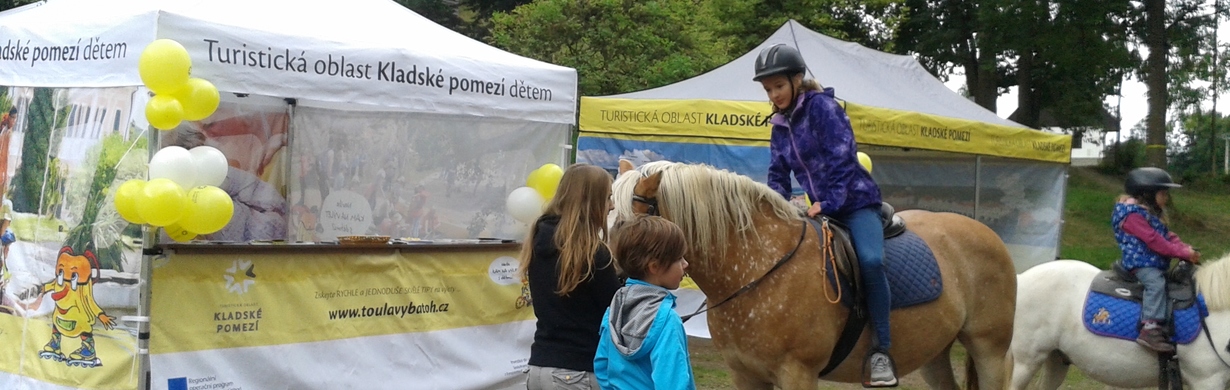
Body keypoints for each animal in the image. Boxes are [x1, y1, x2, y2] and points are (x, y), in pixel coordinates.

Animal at [615, 159, 1018, 388]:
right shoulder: (746, 375)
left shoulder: (798, 372)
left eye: (626, 222)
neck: (756, 268)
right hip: (935, 352)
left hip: (989, 348)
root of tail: (989, 234)